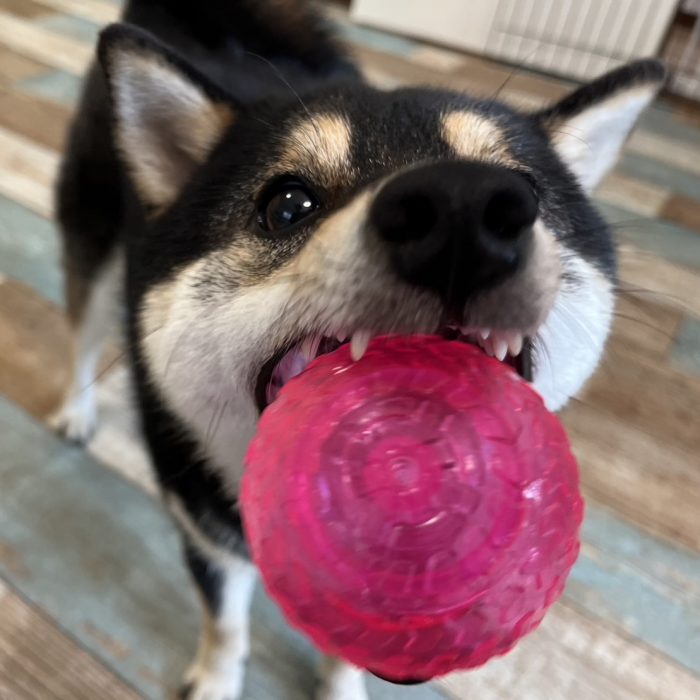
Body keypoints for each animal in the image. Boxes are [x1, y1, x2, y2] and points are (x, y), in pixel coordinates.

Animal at [52, 2, 664, 696]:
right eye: (288, 205)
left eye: (527, 193)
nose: (461, 208)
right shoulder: (208, 536)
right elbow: (226, 625)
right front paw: (216, 680)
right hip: (94, 252)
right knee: (82, 336)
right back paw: (75, 411)